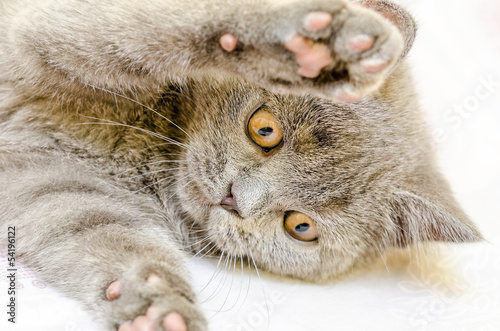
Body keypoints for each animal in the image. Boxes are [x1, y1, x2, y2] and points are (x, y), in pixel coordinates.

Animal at [0, 0, 482, 330]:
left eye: (300, 226)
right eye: (264, 129)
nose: (235, 200)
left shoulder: (53, 182)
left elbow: (103, 234)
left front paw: (158, 306)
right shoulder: (42, 30)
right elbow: (142, 32)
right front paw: (315, 47)